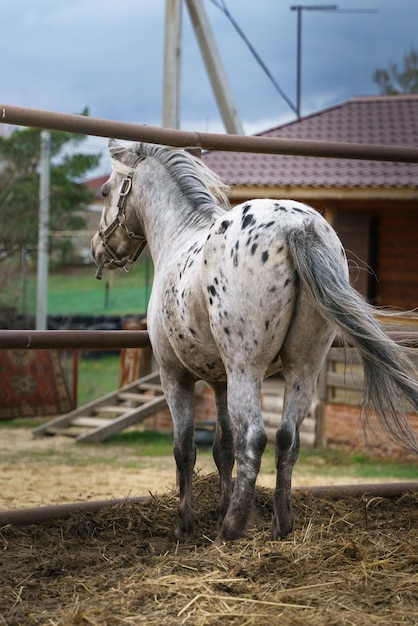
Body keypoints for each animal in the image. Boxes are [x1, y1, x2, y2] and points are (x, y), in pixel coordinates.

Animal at [93, 139, 418, 540]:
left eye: (105, 191)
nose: (97, 249)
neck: (180, 234)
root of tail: (296, 228)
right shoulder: (218, 381)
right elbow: (222, 448)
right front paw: (218, 506)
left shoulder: (175, 376)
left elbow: (185, 448)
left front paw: (186, 525)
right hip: (303, 369)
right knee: (286, 439)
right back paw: (281, 525)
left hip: (246, 369)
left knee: (255, 438)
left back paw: (231, 529)